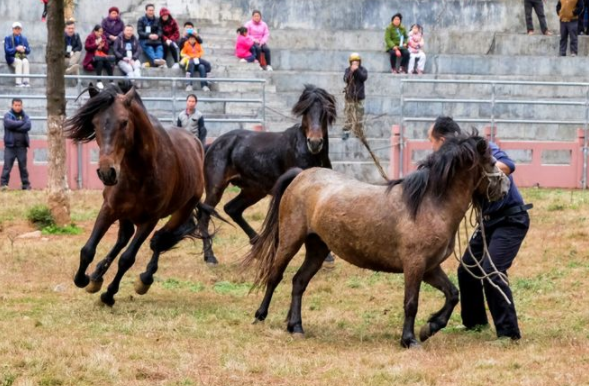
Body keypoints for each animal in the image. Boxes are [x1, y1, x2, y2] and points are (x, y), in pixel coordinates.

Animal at [64, 84, 220, 308]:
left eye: (124, 122)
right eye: (94, 122)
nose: (107, 172)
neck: (140, 171)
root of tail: (196, 143)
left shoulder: (149, 220)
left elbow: (127, 258)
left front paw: (109, 294)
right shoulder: (109, 208)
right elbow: (88, 249)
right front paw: (83, 278)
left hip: (181, 210)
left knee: (160, 240)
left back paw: (144, 279)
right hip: (125, 213)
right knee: (124, 237)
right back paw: (97, 275)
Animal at [198, 84, 336, 266]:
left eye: (325, 111)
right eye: (305, 111)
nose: (314, 143)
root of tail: (213, 144)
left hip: (253, 190)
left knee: (232, 209)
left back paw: (257, 246)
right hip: (216, 188)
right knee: (205, 216)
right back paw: (210, 257)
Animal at [243, 133, 510, 350]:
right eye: (492, 162)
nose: (505, 188)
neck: (428, 204)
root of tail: (301, 175)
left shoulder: (430, 267)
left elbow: (453, 294)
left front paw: (430, 328)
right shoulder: (415, 265)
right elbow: (411, 303)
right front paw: (410, 340)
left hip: (317, 248)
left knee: (299, 282)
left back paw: (295, 326)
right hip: (290, 240)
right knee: (275, 276)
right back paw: (260, 315)